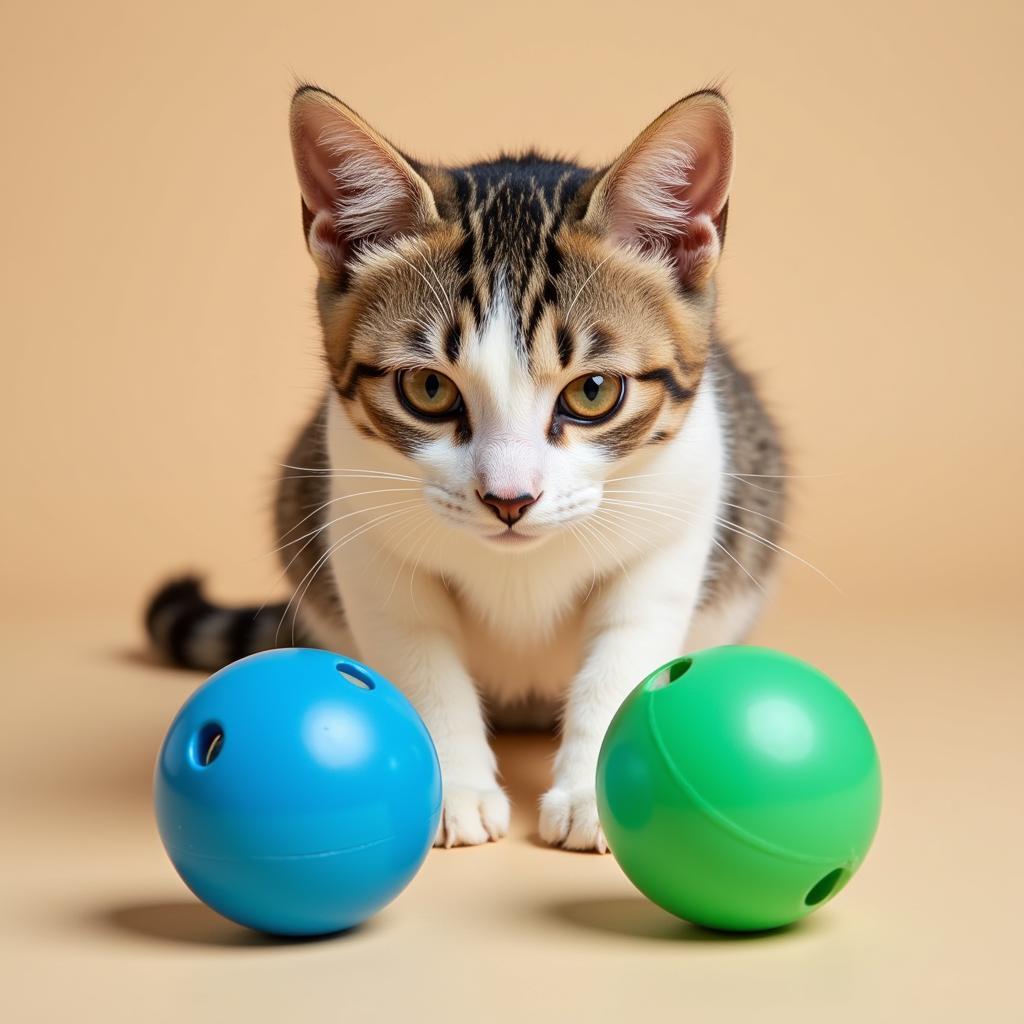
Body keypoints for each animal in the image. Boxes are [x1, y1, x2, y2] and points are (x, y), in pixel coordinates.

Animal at [146, 83, 782, 851]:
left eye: (593, 392)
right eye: (428, 389)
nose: (510, 498)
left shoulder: (676, 518)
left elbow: (626, 651)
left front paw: (591, 791)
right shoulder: (361, 531)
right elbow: (420, 660)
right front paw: (455, 788)